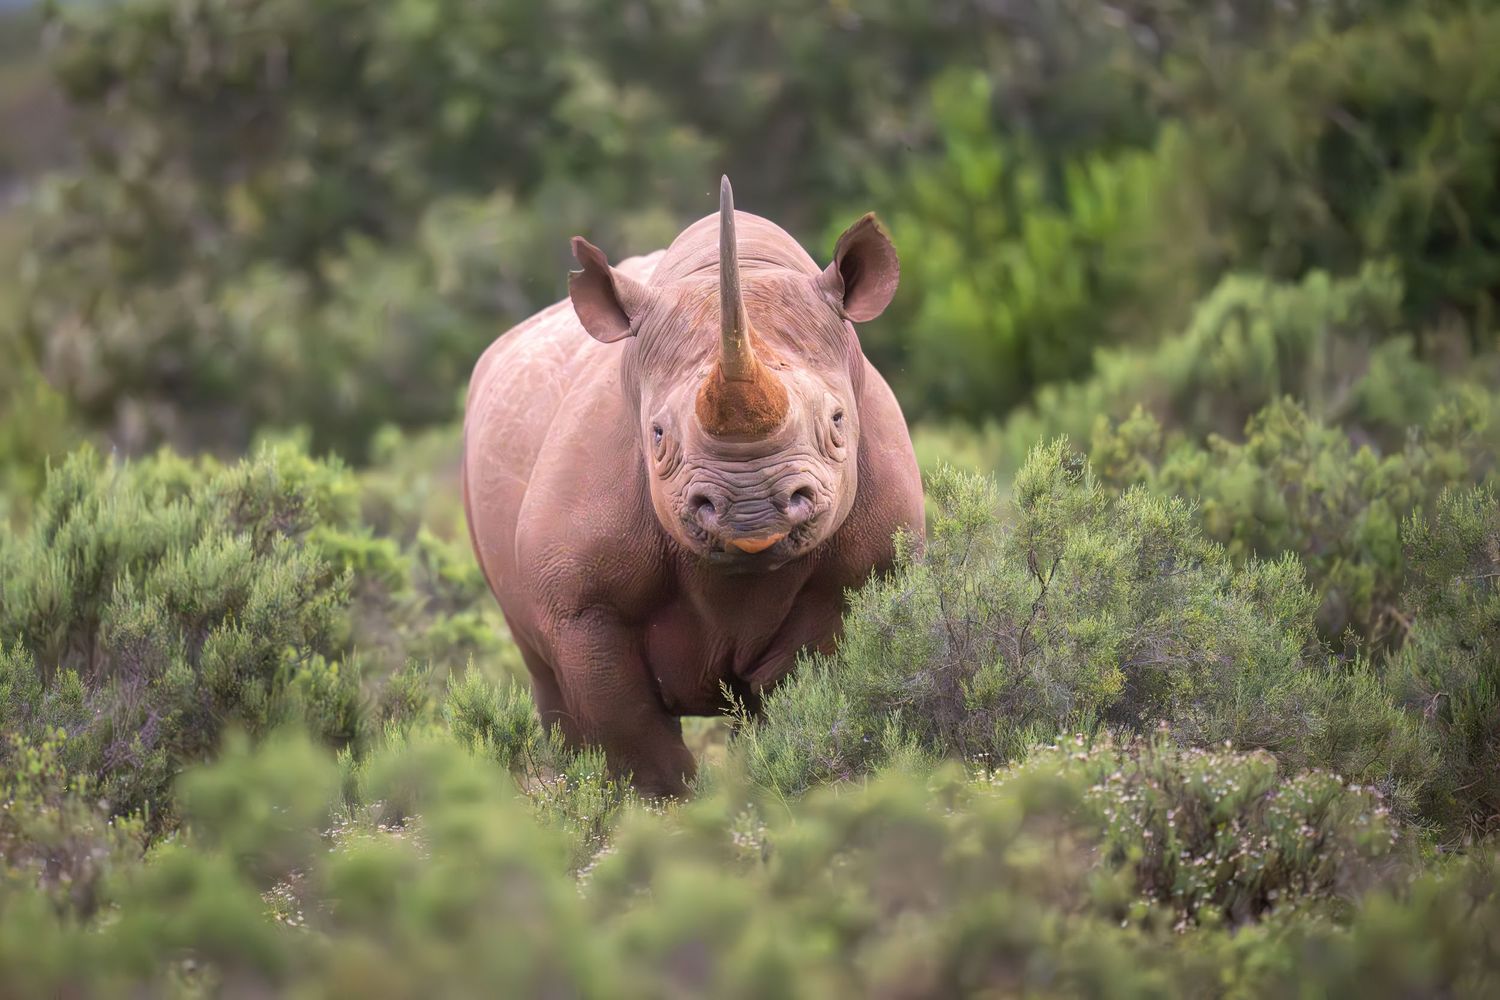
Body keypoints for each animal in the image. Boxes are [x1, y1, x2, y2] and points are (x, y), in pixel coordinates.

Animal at [461, 178, 924, 796]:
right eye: (657, 435)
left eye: (837, 421)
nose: (752, 511)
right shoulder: (583, 607)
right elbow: (636, 744)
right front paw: (666, 811)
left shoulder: (857, 580)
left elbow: (799, 706)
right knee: (545, 675)